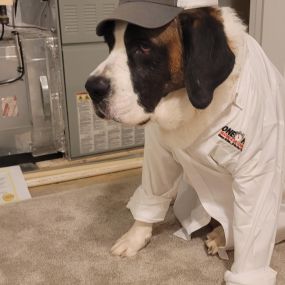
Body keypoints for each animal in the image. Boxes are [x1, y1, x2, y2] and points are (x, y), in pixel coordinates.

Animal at [85, 4, 284, 284]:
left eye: (143, 47)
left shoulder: (258, 174)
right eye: (110, 44)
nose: (92, 88)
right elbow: (152, 193)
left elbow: (253, 226)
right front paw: (135, 237)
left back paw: (220, 237)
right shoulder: (157, 152)